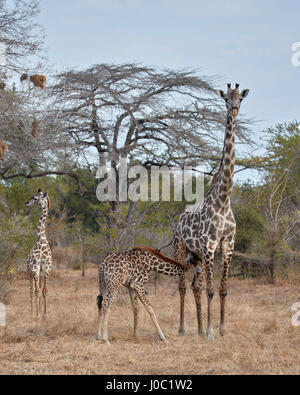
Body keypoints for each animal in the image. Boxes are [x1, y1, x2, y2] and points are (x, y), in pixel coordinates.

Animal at [172, 83, 250, 340]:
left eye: (240, 99)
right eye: (226, 98)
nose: (234, 109)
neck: (223, 200)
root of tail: (177, 219)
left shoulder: (228, 245)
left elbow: (223, 288)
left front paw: (222, 328)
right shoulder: (209, 246)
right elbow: (211, 289)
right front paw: (209, 332)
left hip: (195, 255)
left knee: (194, 285)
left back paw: (196, 327)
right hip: (181, 248)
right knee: (182, 286)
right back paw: (182, 328)